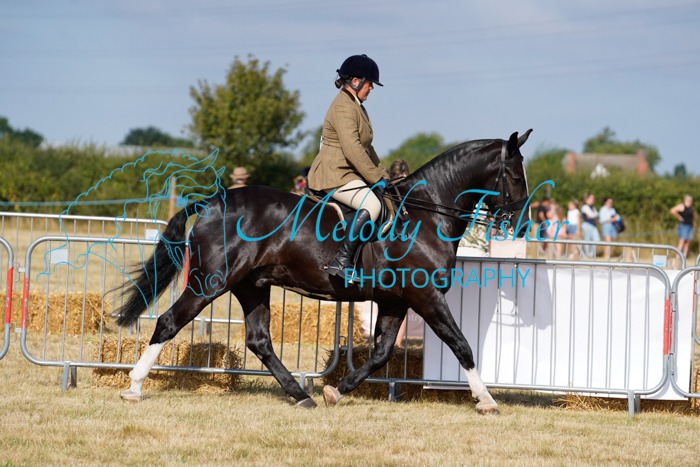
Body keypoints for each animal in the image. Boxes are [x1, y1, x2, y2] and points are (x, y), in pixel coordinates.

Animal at [116, 130, 534, 415]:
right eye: (515, 177)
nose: (522, 227)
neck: (425, 215)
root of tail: (212, 202)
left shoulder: (395, 301)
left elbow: (381, 354)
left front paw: (336, 390)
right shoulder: (425, 296)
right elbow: (461, 344)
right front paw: (486, 399)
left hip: (251, 285)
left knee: (259, 340)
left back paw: (301, 396)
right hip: (210, 282)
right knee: (169, 322)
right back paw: (133, 386)